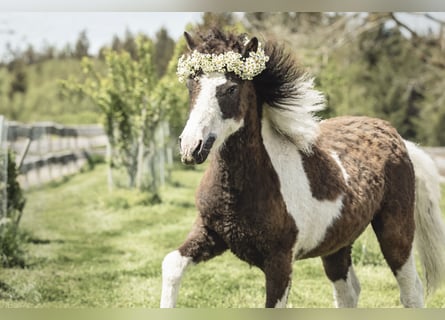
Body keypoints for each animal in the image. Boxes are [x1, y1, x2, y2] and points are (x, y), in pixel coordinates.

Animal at [160, 28, 444, 308]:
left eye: (230, 88)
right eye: (191, 83)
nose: (191, 147)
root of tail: (399, 139)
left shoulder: (280, 262)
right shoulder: (209, 233)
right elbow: (171, 264)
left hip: (396, 229)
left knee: (411, 290)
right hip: (337, 244)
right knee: (348, 292)